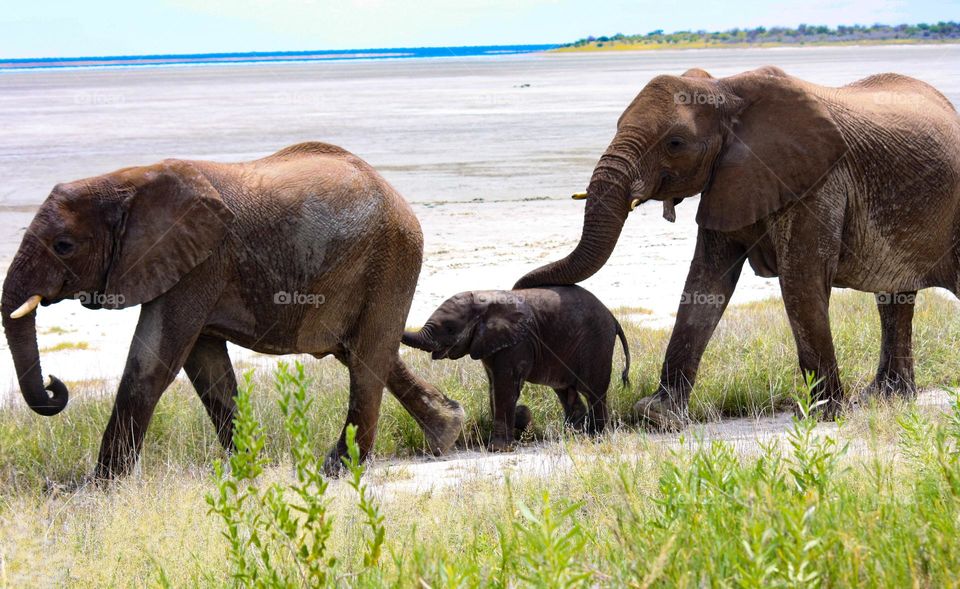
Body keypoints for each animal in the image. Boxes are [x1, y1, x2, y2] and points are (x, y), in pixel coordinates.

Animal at [2, 142, 465, 478]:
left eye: (64, 246)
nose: (54, 384)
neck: (125, 180)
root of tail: (395, 193)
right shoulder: (190, 266)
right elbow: (208, 372)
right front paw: (249, 468)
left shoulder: (201, 264)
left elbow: (152, 365)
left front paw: (101, 488)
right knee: (363, 352)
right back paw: (444, 436)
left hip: (392, 258)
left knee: (366, 359)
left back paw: (337, 468)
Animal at [401, 286, 630, 451]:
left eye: (449, 328)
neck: (484, 299)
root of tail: (613, 318)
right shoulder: (491, 344)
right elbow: (494, 387)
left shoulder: (518, 343)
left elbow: (505, 387)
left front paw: (498, 449)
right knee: (566, 391)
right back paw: (573, 435)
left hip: (597, 343)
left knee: (592, 391)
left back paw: (596, 436)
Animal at [514, 66, 960, 428]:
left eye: (675, 143)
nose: (522, 292)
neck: (724, 89)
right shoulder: (728, 181)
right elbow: (706, 284)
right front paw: (658, 417)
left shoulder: (818, 182)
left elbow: (800, 284)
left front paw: (822, 416)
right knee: (895, 297)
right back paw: (887, 397)